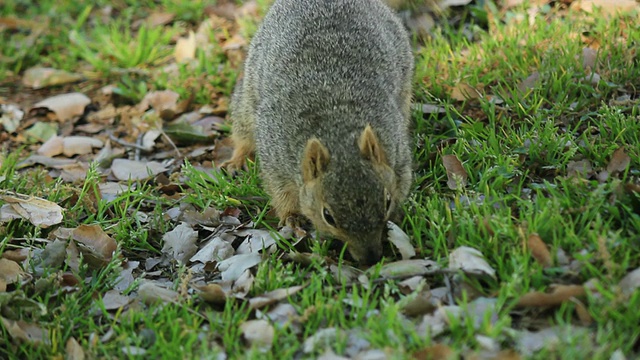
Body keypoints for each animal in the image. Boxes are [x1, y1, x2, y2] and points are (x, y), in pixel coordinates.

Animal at [225, 0, 416, 264]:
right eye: (328, 216)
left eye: (387, 201)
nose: (370, 258)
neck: (336, 128)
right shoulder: (276, 154)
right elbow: (280, 190)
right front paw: (293, 218)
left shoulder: (396, 150)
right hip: (248, 100)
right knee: (243, 134)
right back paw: (238, 160)